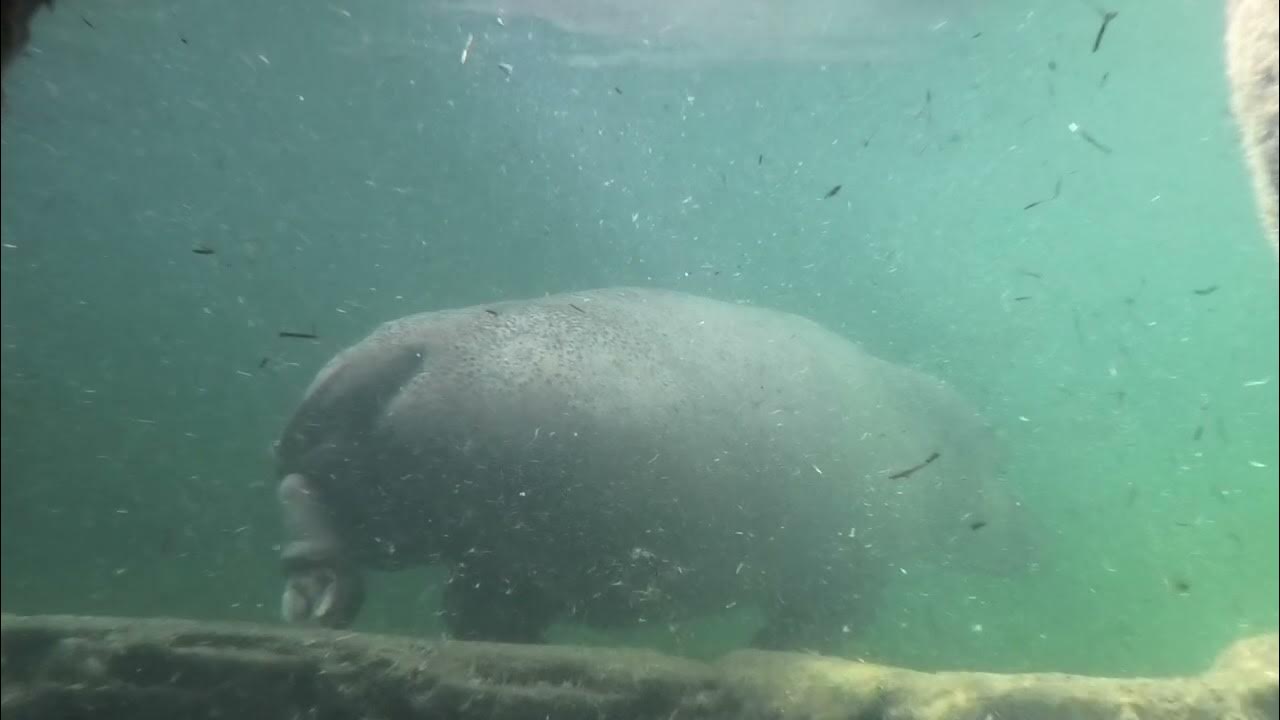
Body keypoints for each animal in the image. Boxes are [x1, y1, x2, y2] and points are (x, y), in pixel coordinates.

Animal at [273, 287, 1030, 651]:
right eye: (990, 443)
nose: (1036, 540)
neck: (921, 425)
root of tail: (399, 353)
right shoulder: (849, 574)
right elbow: (810, 631)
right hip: (428, 517)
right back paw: (322, 605)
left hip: (432, 524)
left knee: (308, 509)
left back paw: (310, 605)